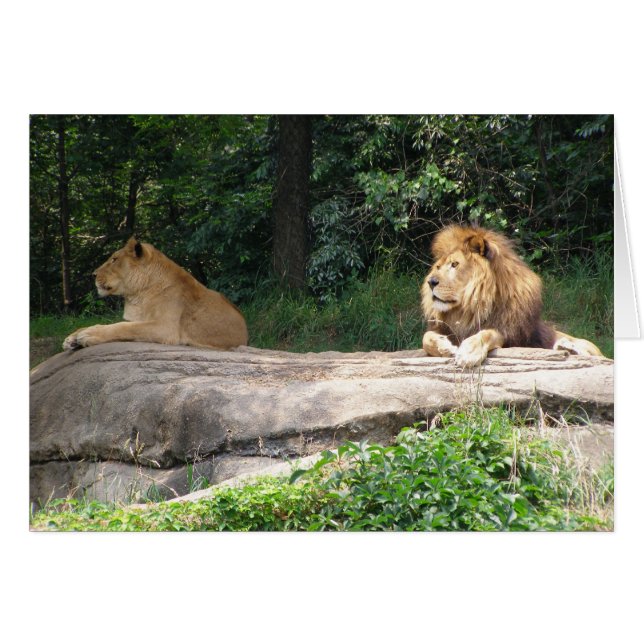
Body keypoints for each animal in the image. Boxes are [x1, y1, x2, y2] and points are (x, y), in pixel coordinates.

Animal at [63, 238, 248, 351]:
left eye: (114, 259)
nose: (93, 274)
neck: (137, 294)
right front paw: (72, 337)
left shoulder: (166, 328)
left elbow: (123, 327)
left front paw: (88, 335)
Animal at [420, 225, 603, 368]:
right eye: (438, 267)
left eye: (455, 264)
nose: (431, 282)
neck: (468, 308)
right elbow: (426, 337)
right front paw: (445, 347)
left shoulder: (512, 335)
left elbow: (487, 333)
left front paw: (468, 352)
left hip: (590, 347)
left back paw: (566, 347)